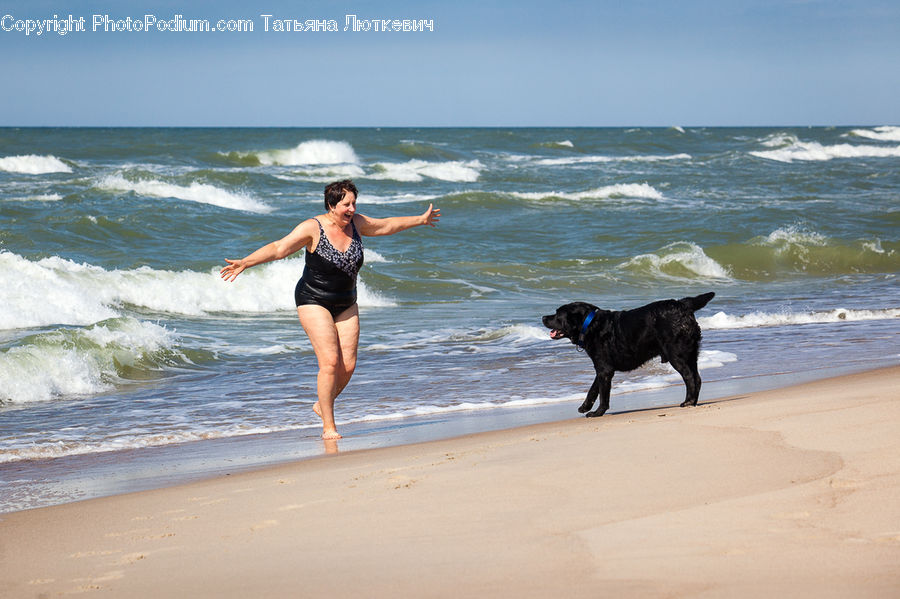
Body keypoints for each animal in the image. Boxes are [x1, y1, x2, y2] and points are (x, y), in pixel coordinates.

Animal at [540, 294, 716, 418]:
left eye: (557, 314)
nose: (543, 317)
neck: (589, 325)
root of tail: (682, 304)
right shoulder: (602, 368)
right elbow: (593, 389)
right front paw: (585, 407)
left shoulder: (604, 370)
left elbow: (604, 396)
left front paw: (597, 413)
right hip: (691, 354)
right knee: (697, 378)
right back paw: (694, 402)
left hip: (676, 355)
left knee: (689, 377)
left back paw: (688, 401)